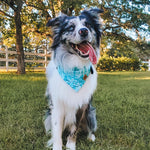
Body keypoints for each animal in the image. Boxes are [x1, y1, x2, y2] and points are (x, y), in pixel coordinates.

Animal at [44, 8, 103, 150]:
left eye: (88, 25)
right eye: (71, 27)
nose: (84, 31)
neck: (74, 66)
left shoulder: (81, 106)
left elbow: (74, 129)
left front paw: (70, 145)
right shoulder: (57, 105)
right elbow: (57, 130)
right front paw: (57, 146)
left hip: (90, 113)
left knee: (89, 127)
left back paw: (91, 137)